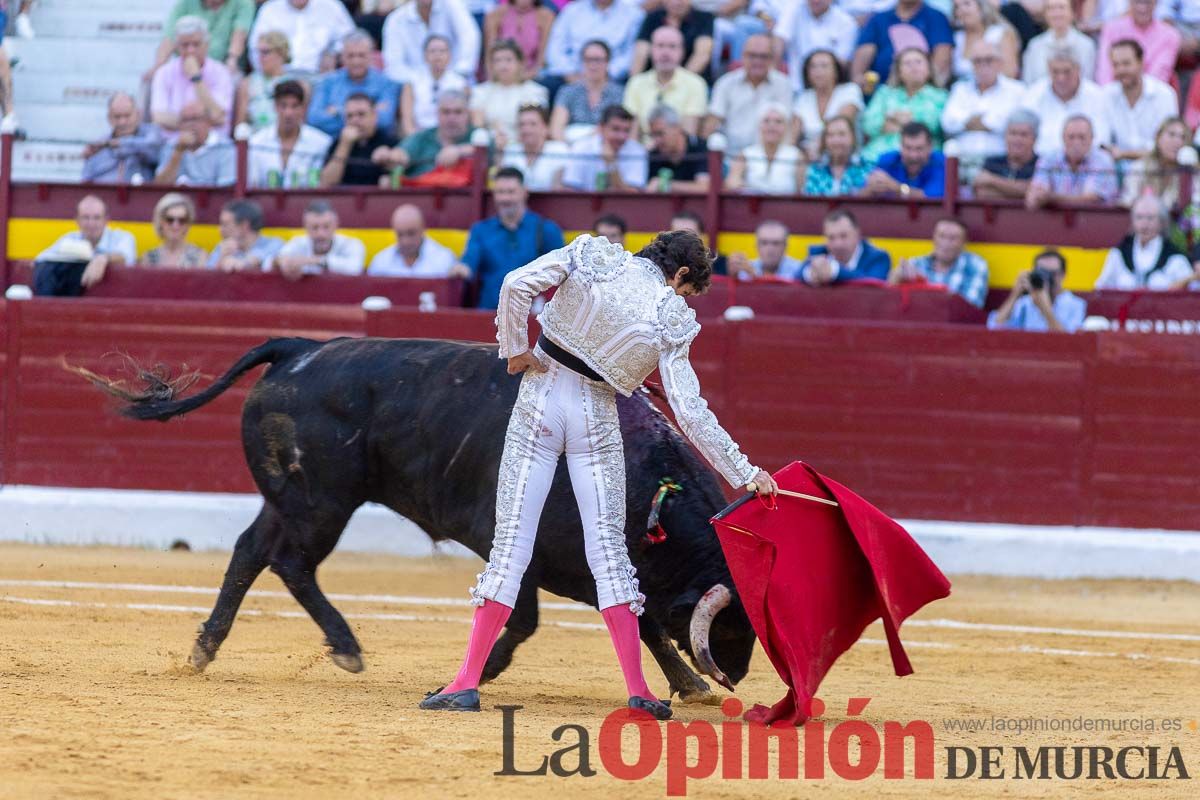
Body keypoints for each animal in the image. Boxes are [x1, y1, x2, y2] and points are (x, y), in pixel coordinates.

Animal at [84, 335, 753, 705]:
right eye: (731, 625)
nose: (739, 675)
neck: (649, 486)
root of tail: (299, 350)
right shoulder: (510, 540)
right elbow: (525, 616)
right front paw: (467, 679)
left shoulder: (592, 565)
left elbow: (641, 621)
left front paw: (687, 686)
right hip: (322, 502)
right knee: (289, 560)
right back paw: (346, 647)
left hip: (293, 499)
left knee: (251, 551)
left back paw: (206, 647)